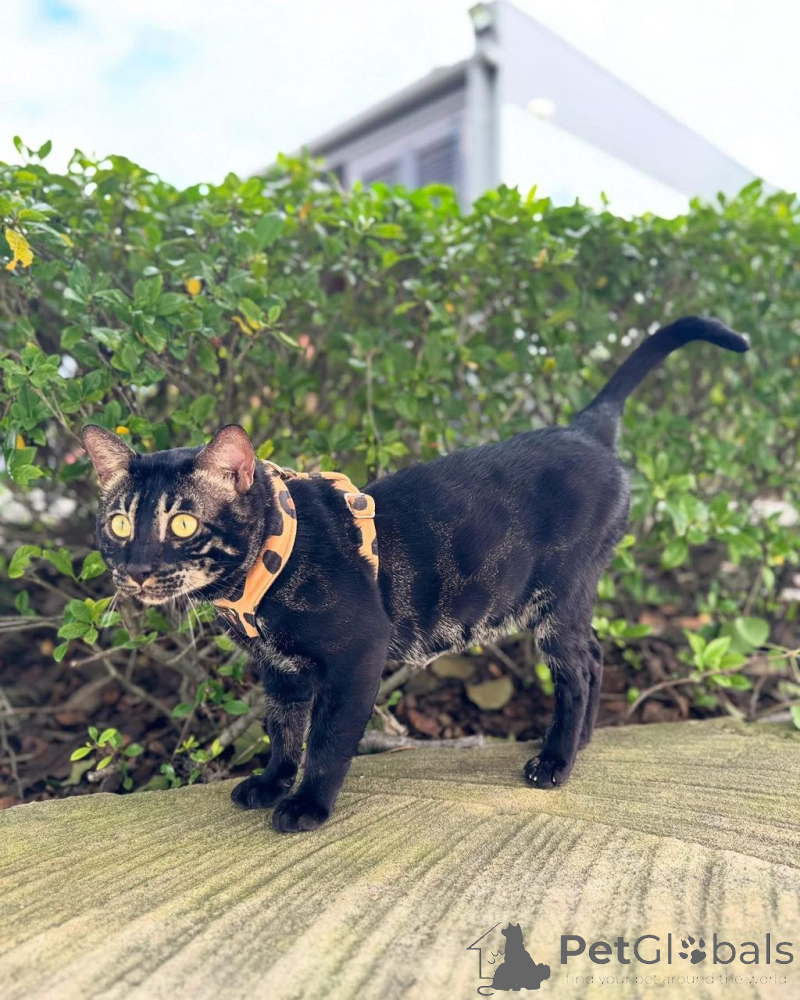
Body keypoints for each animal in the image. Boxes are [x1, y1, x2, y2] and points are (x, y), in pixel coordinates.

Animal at [82, 316, 748, 832]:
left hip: (558, 597)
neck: (268, 570)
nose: (136, 570)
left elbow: (326, 741)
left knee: (579, 669)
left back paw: (556, 761)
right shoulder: (281, 673)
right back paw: (580, 742)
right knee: (598, 653)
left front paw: (306, 806)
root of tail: (585, 427)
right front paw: (271, 783)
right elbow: (283, 732)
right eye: (119, 524)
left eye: (183, 524)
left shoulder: (357, 657)